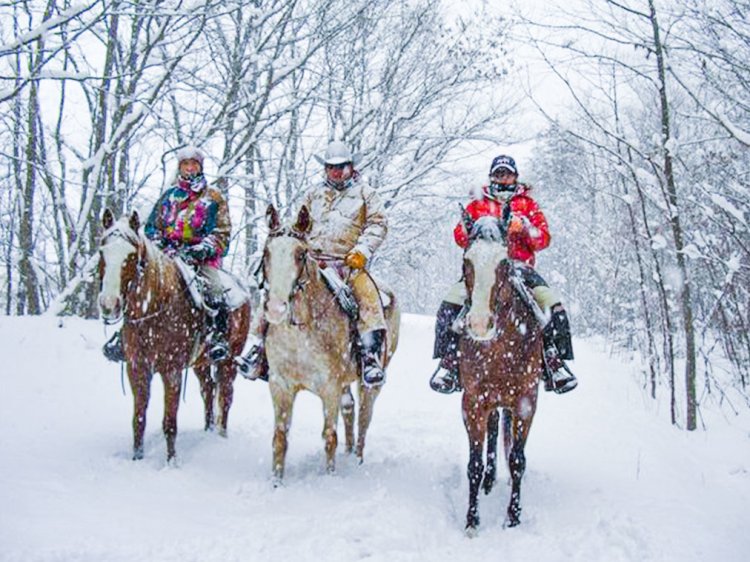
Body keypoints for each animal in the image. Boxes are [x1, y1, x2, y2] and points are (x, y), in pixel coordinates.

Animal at [98, 207, 253, 460]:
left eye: (132, 255)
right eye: (102, 252)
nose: (109, 304)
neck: (154, 307)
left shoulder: (171, 371)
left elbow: (170, 422)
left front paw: (171, 462)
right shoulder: (137, 367)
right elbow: (138, 419)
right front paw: (137, 457)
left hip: (229, 360)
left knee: (225, 395)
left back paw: (220, 435)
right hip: (201, 362)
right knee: (208, 389)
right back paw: (208, 428)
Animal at [262, 203, 402, 480]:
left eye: (300, 254)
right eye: (266, 253)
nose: (275, 309)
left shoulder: (329, 388)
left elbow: (329, 437)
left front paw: (329, 478)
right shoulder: (280, 385)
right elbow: (280, 438)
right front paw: (276, 482)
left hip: (369, 381)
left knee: (364, 417)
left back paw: (357, 459)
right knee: (350, 410)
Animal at [462, 211, 544, 532]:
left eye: (504, 262)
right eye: (466, 261)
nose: (479, 323)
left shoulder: (525, 402)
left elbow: (518, 460)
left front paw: (514, 515)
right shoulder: (472, 401)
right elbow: (474, 463)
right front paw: (472, 519)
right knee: (495, 429)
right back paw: (489, 480)